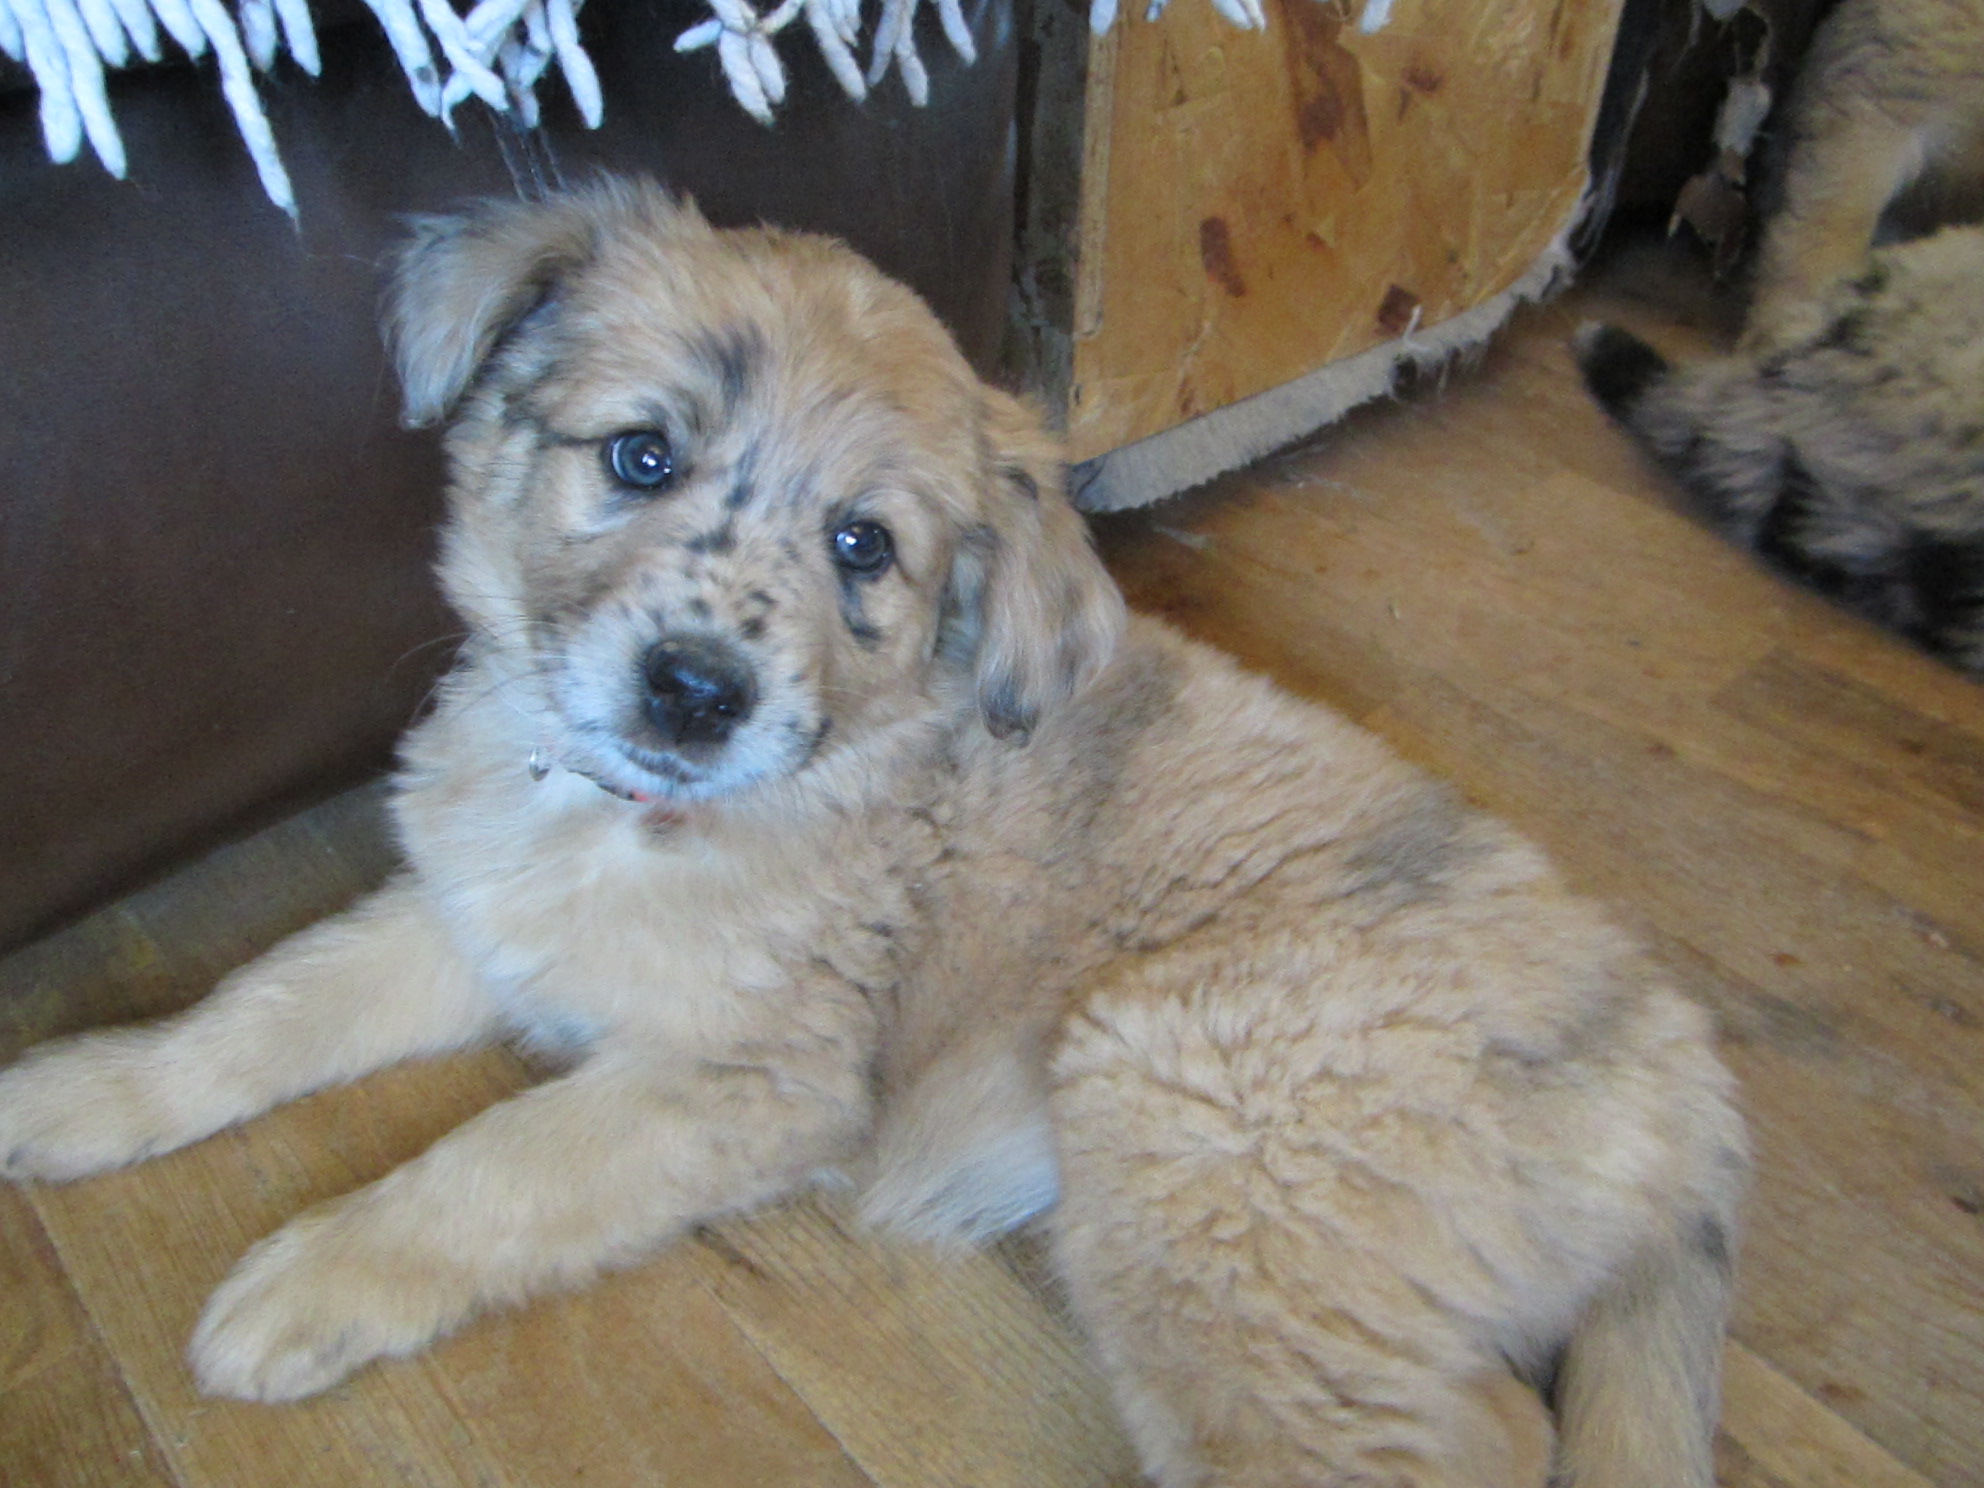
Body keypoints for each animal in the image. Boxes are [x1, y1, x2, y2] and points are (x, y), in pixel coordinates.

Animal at [0, 180, 1737, 1484]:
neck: (636, 819)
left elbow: (486, 1166)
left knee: (1465, 1439)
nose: (696, 691)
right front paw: (78, 1092)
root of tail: (1682, 1084)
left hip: (1186, 1117)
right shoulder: (470, 916)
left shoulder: (744, 1082)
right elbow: (254, 1009)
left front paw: (310, 1277)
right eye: (640, 454)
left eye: (863, 548)